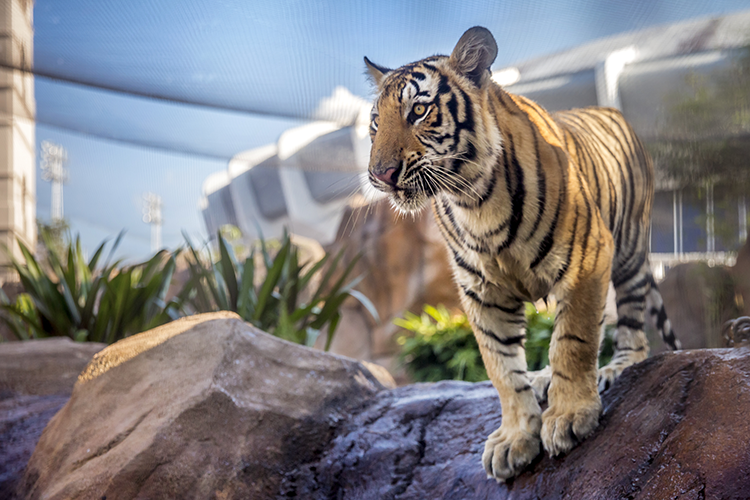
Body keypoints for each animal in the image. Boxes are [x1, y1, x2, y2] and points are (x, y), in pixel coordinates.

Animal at [364, 26, 680, 480]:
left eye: (419, 110)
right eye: (375, 123)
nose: (380, 175)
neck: (473, 201)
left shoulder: (586, 260)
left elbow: (572, 340)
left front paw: (569, 416)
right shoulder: (481, 292)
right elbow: (501, 367)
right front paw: (515, 438)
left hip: (630, 251)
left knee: (633, 327)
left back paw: (615, 367)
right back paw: (545, 377)